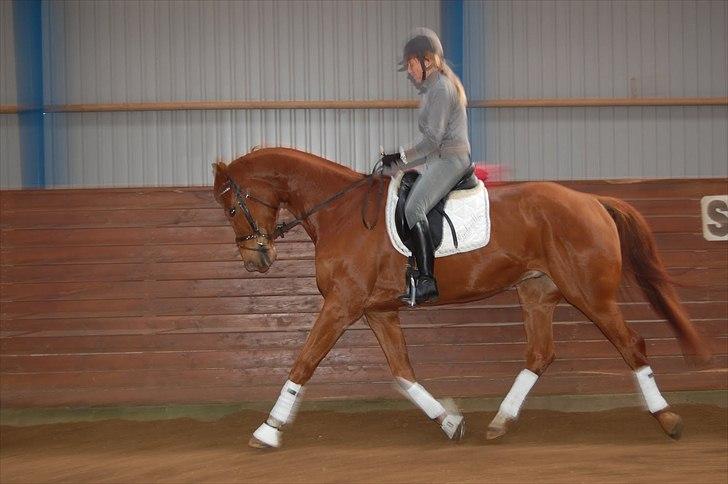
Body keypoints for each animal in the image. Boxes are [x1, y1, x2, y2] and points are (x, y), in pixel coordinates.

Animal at [210, 146, 712, 448]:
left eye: (232, 206)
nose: (256, 260)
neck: (340, 211)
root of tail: (591, 201)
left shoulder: (341, 305)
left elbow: (304, 362)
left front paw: (267, 430)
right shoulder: (376, 312)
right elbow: (402, 373)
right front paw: (450, 421)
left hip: (589, 293)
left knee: (632, 345)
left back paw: (667, 418)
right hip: (537, 292)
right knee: (540, 354)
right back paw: (501, 421)